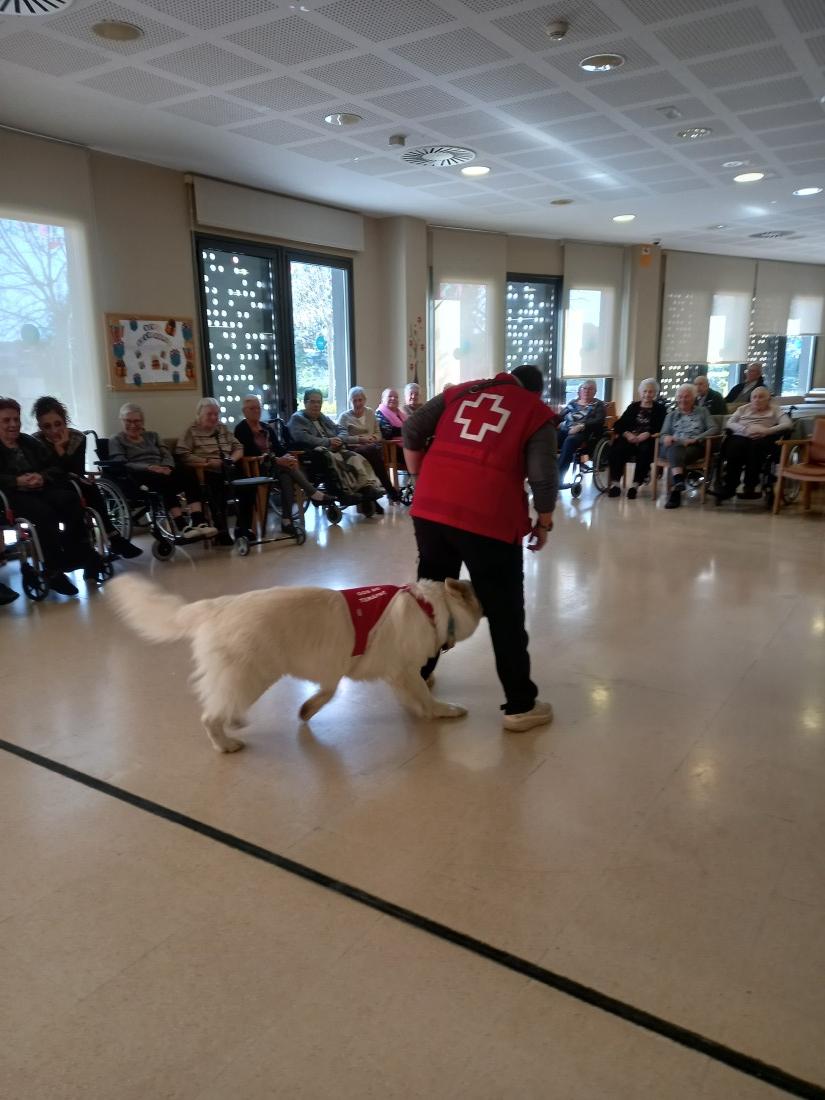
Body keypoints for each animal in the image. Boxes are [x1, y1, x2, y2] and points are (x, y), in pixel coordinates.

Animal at [109, 575, 483, 753]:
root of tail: (216, 606)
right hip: (249, 673)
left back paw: (235, 720)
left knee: (223, 701)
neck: (433, 609)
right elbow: (425, 696)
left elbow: (329, 691)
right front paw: (443, 710)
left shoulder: (346, 666)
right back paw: (225, 743)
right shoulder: (402, 670)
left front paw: (308, 708)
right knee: (210, 715)